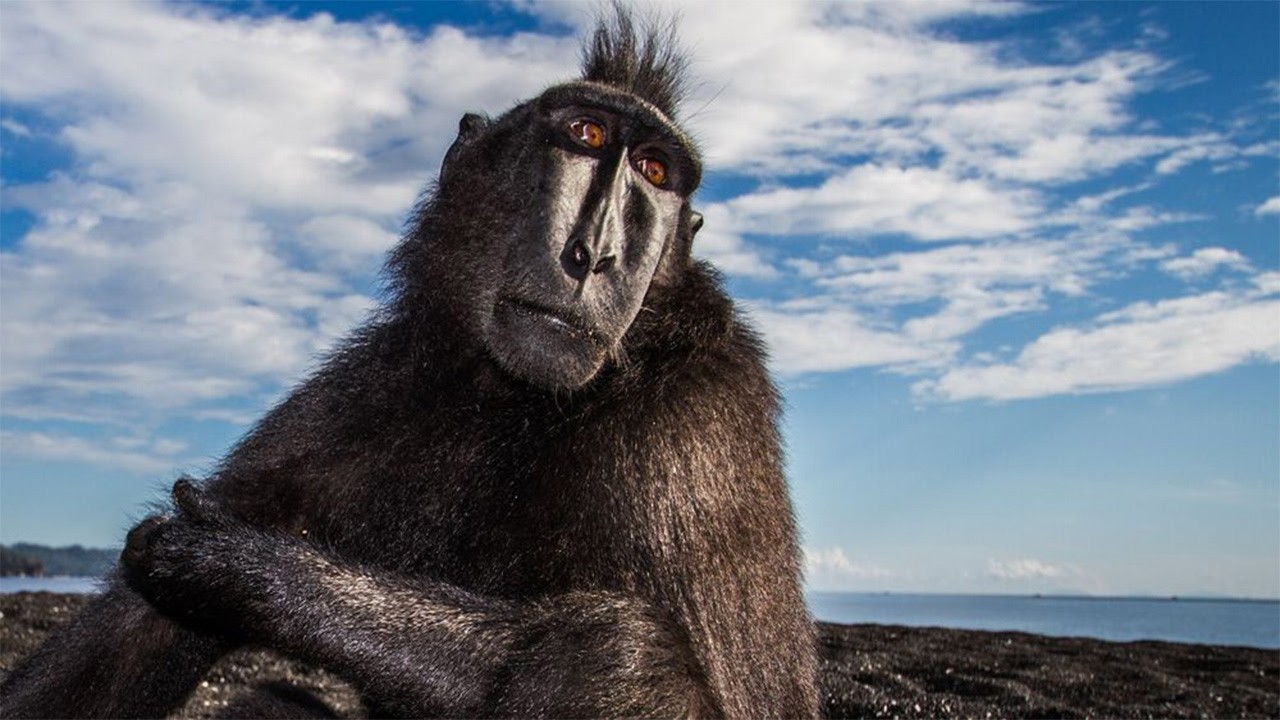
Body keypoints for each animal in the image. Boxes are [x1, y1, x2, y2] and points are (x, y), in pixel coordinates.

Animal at [0, 9, 819, 719]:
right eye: (587, 135)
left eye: (653, 170)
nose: (595, 256)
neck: (515, 396)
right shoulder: (371, 386)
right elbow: (134, 634)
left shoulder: (696, 443)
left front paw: (254, 572)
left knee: (617, 658)